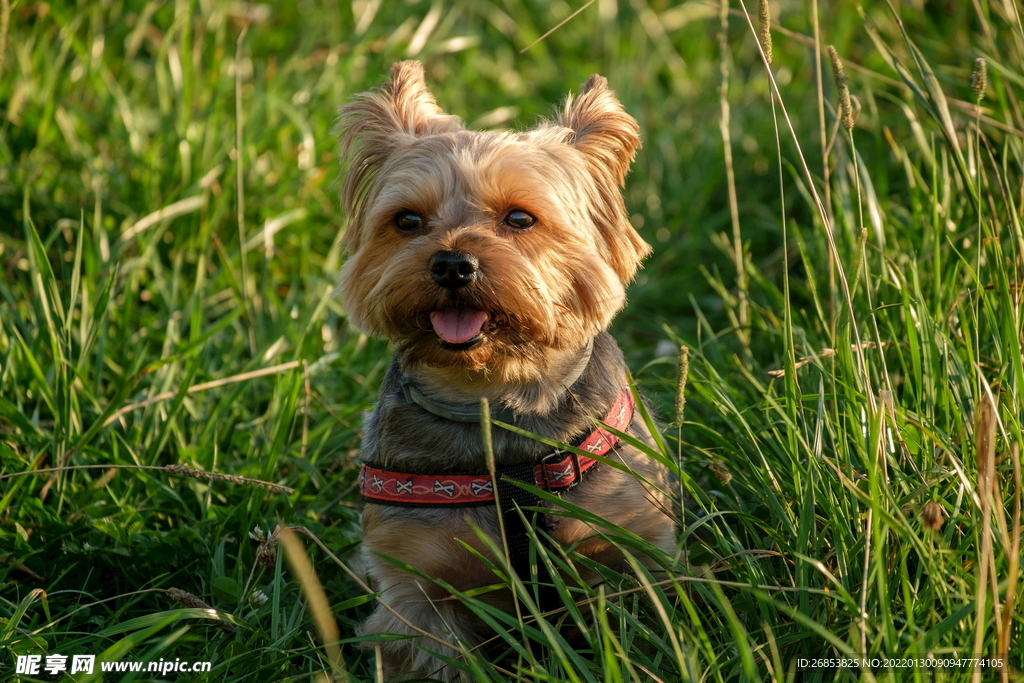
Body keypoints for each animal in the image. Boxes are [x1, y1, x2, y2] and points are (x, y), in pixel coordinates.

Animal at [333, 61, 671, 679]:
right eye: (407, 220)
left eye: (519, 218)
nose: (451, 263)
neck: (496, 398)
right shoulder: (417, 586)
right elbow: (435, 653)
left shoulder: (629, 548)